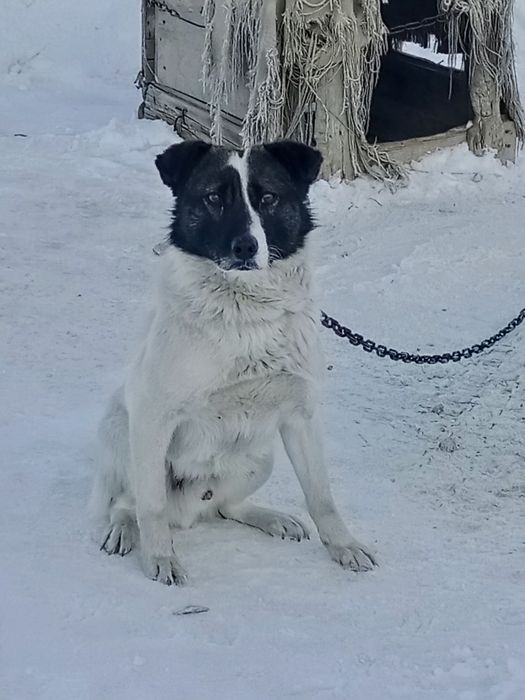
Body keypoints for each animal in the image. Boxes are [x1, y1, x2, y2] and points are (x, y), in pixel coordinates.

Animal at [90, 139, 376, 585]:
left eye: (268, 198)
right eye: (213, 199)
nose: (245, 247)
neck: (247, 316)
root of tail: (189, 511)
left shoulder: (301, 417)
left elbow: (321, 495)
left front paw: (343, 546)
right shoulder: (152, 414)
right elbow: (150, 508)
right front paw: (161, 558)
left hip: (261, 456)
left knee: (226, 506)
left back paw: (272, 519)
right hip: (124, 434)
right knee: (128, 503)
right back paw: (124, 530)